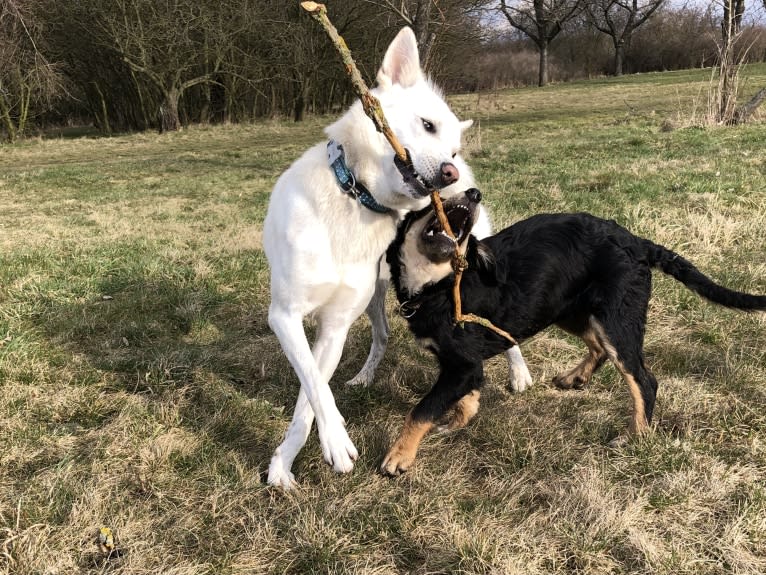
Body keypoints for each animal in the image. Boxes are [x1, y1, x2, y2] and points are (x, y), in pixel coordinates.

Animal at [264, 24, 528, 488]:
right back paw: (365, 376)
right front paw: (299, 456)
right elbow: (314, 386)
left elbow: (308, 397)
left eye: (453, 149)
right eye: (427, 125)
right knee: (383, 335)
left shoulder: (333, 326)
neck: (357, 199)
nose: (452, 176)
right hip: (374, 295)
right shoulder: (287, 316)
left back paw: (519, 371)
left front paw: (315, 448)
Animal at [384, 189, 766, 476]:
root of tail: (636, 242)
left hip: (617, 319)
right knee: (598, 349)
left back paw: (635, 438)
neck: (436, 286)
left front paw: (399, 457)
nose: (474, 193)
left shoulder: (462, 363)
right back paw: (575, 378)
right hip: (569, 310)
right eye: (427, 205)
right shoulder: (460, 365)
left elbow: (422, 408)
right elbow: (464, 398)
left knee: (644, 380)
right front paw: (456, 422)